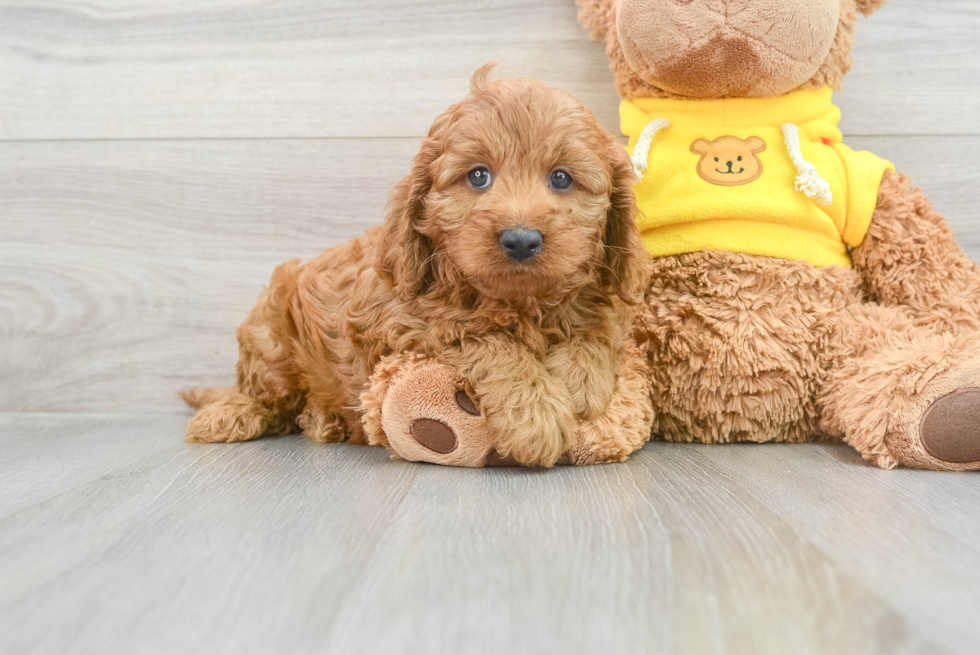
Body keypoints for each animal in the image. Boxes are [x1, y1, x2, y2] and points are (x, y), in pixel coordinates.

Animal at [182, 65, 660, 466]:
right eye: (478, 176)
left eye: (561, 178)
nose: (521, 239)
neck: (518, 301)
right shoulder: (400, 318)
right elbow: (484, 337)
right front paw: (534, 410)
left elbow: (599, 325)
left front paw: (581, 377)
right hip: (270, 334)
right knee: (265, 393)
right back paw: (230, 415)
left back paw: (322, 418)